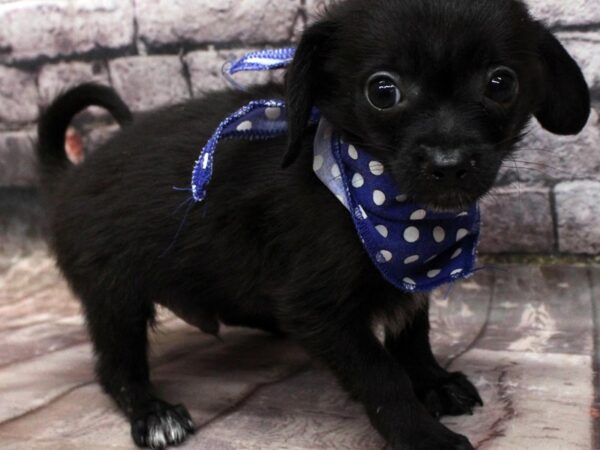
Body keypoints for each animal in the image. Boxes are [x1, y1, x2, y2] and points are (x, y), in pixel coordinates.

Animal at [38, 0, 592, 450]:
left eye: (501, 83)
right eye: (383, 91)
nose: (449, 163)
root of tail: (67, 176)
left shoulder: (407, 279)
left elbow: (412, 339)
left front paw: (434, 382)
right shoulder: (319, 311)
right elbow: (381, 376)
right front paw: (422, 436)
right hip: (114, 297)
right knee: (115, 368)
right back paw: (153, 412)